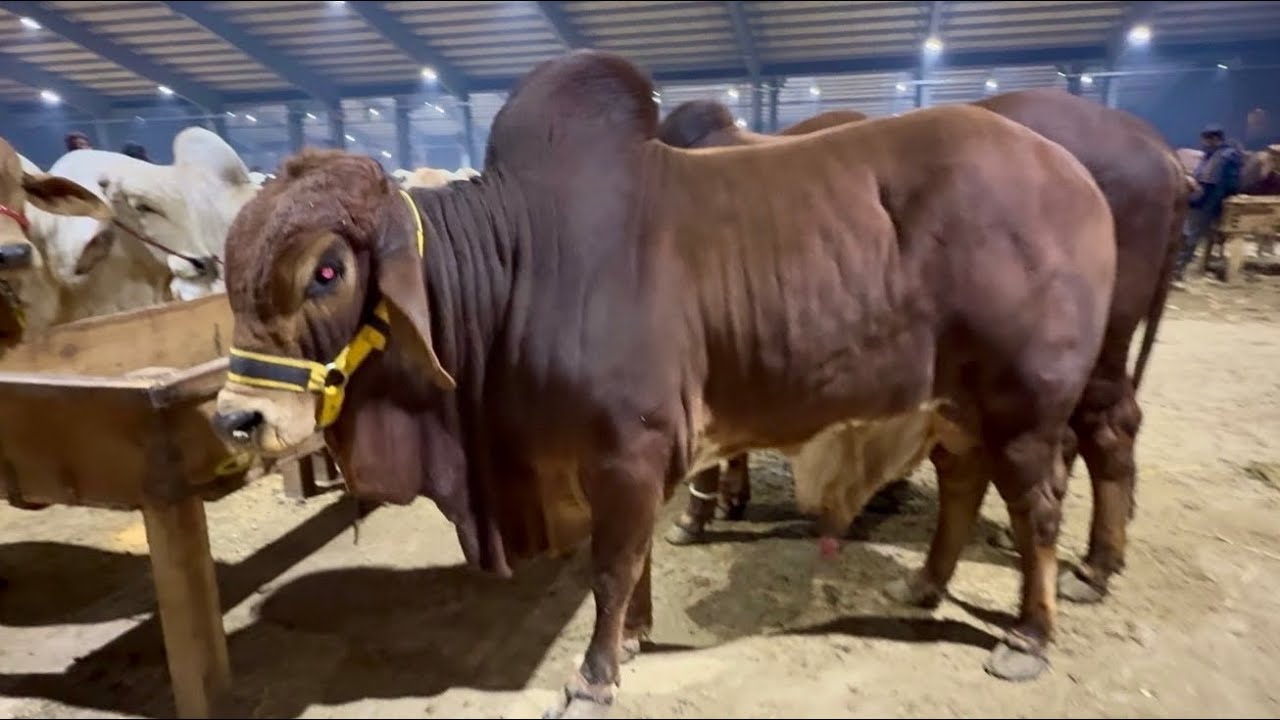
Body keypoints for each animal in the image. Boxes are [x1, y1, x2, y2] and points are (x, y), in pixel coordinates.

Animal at [210, 51, 1116, 715]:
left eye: (327, 270)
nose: (237, 420)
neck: (520, 264)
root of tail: (1077, 176)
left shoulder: (629, 451)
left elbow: (612, 566)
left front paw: (594, 675)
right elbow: (634, 560)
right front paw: (635, 639)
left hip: (1028, 407)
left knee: (1039, 509)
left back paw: (1030, 638)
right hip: (956, 405)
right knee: (963, 484)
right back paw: (926, 583)